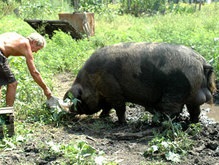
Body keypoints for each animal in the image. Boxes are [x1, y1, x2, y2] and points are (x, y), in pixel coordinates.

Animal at [63, 42, 216, 123]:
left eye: (78, 99)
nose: (70, 110)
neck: (91, 81)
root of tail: (202, 63)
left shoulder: (113, 91)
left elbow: (119, 108)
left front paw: (121, 123)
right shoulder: (107, 94)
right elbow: (107, 107)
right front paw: (102, 117)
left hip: (176, 91)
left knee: (172, 112)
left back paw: (158, 124)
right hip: (192, 94)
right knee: (195, 110)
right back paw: (192, 122)